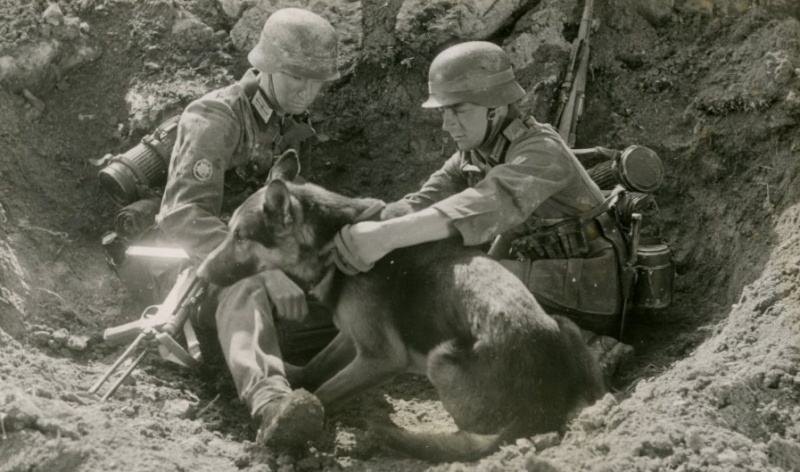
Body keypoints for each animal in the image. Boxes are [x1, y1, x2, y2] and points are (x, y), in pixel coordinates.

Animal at [197, 154, 604, 460]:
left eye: (239, 236)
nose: (200, 272)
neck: (331, 240)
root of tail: (542, 409)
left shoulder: (381, 357)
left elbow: (326, 390)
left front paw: (288, 420)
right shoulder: (353, 335)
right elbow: (318, 365)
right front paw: (293, 379)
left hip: (442, 360)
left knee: (471, 439)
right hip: (564, 325)